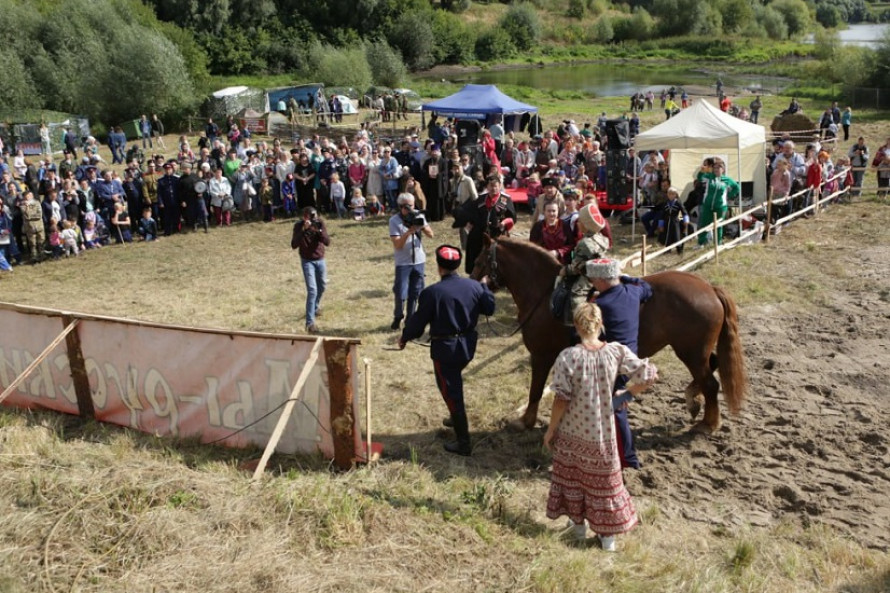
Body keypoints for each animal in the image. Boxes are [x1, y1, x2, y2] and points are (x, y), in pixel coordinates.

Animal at [472, 234, 744, 432]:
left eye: (479, 261)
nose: (472, 282)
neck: (544, 294)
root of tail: (709, 288)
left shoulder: (541, 356)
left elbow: (535, 390)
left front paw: (526, 421)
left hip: (691, 353)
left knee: (710, 383)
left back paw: (708, 423)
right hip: (697, 352)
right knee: (712, 368)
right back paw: (693, 399)